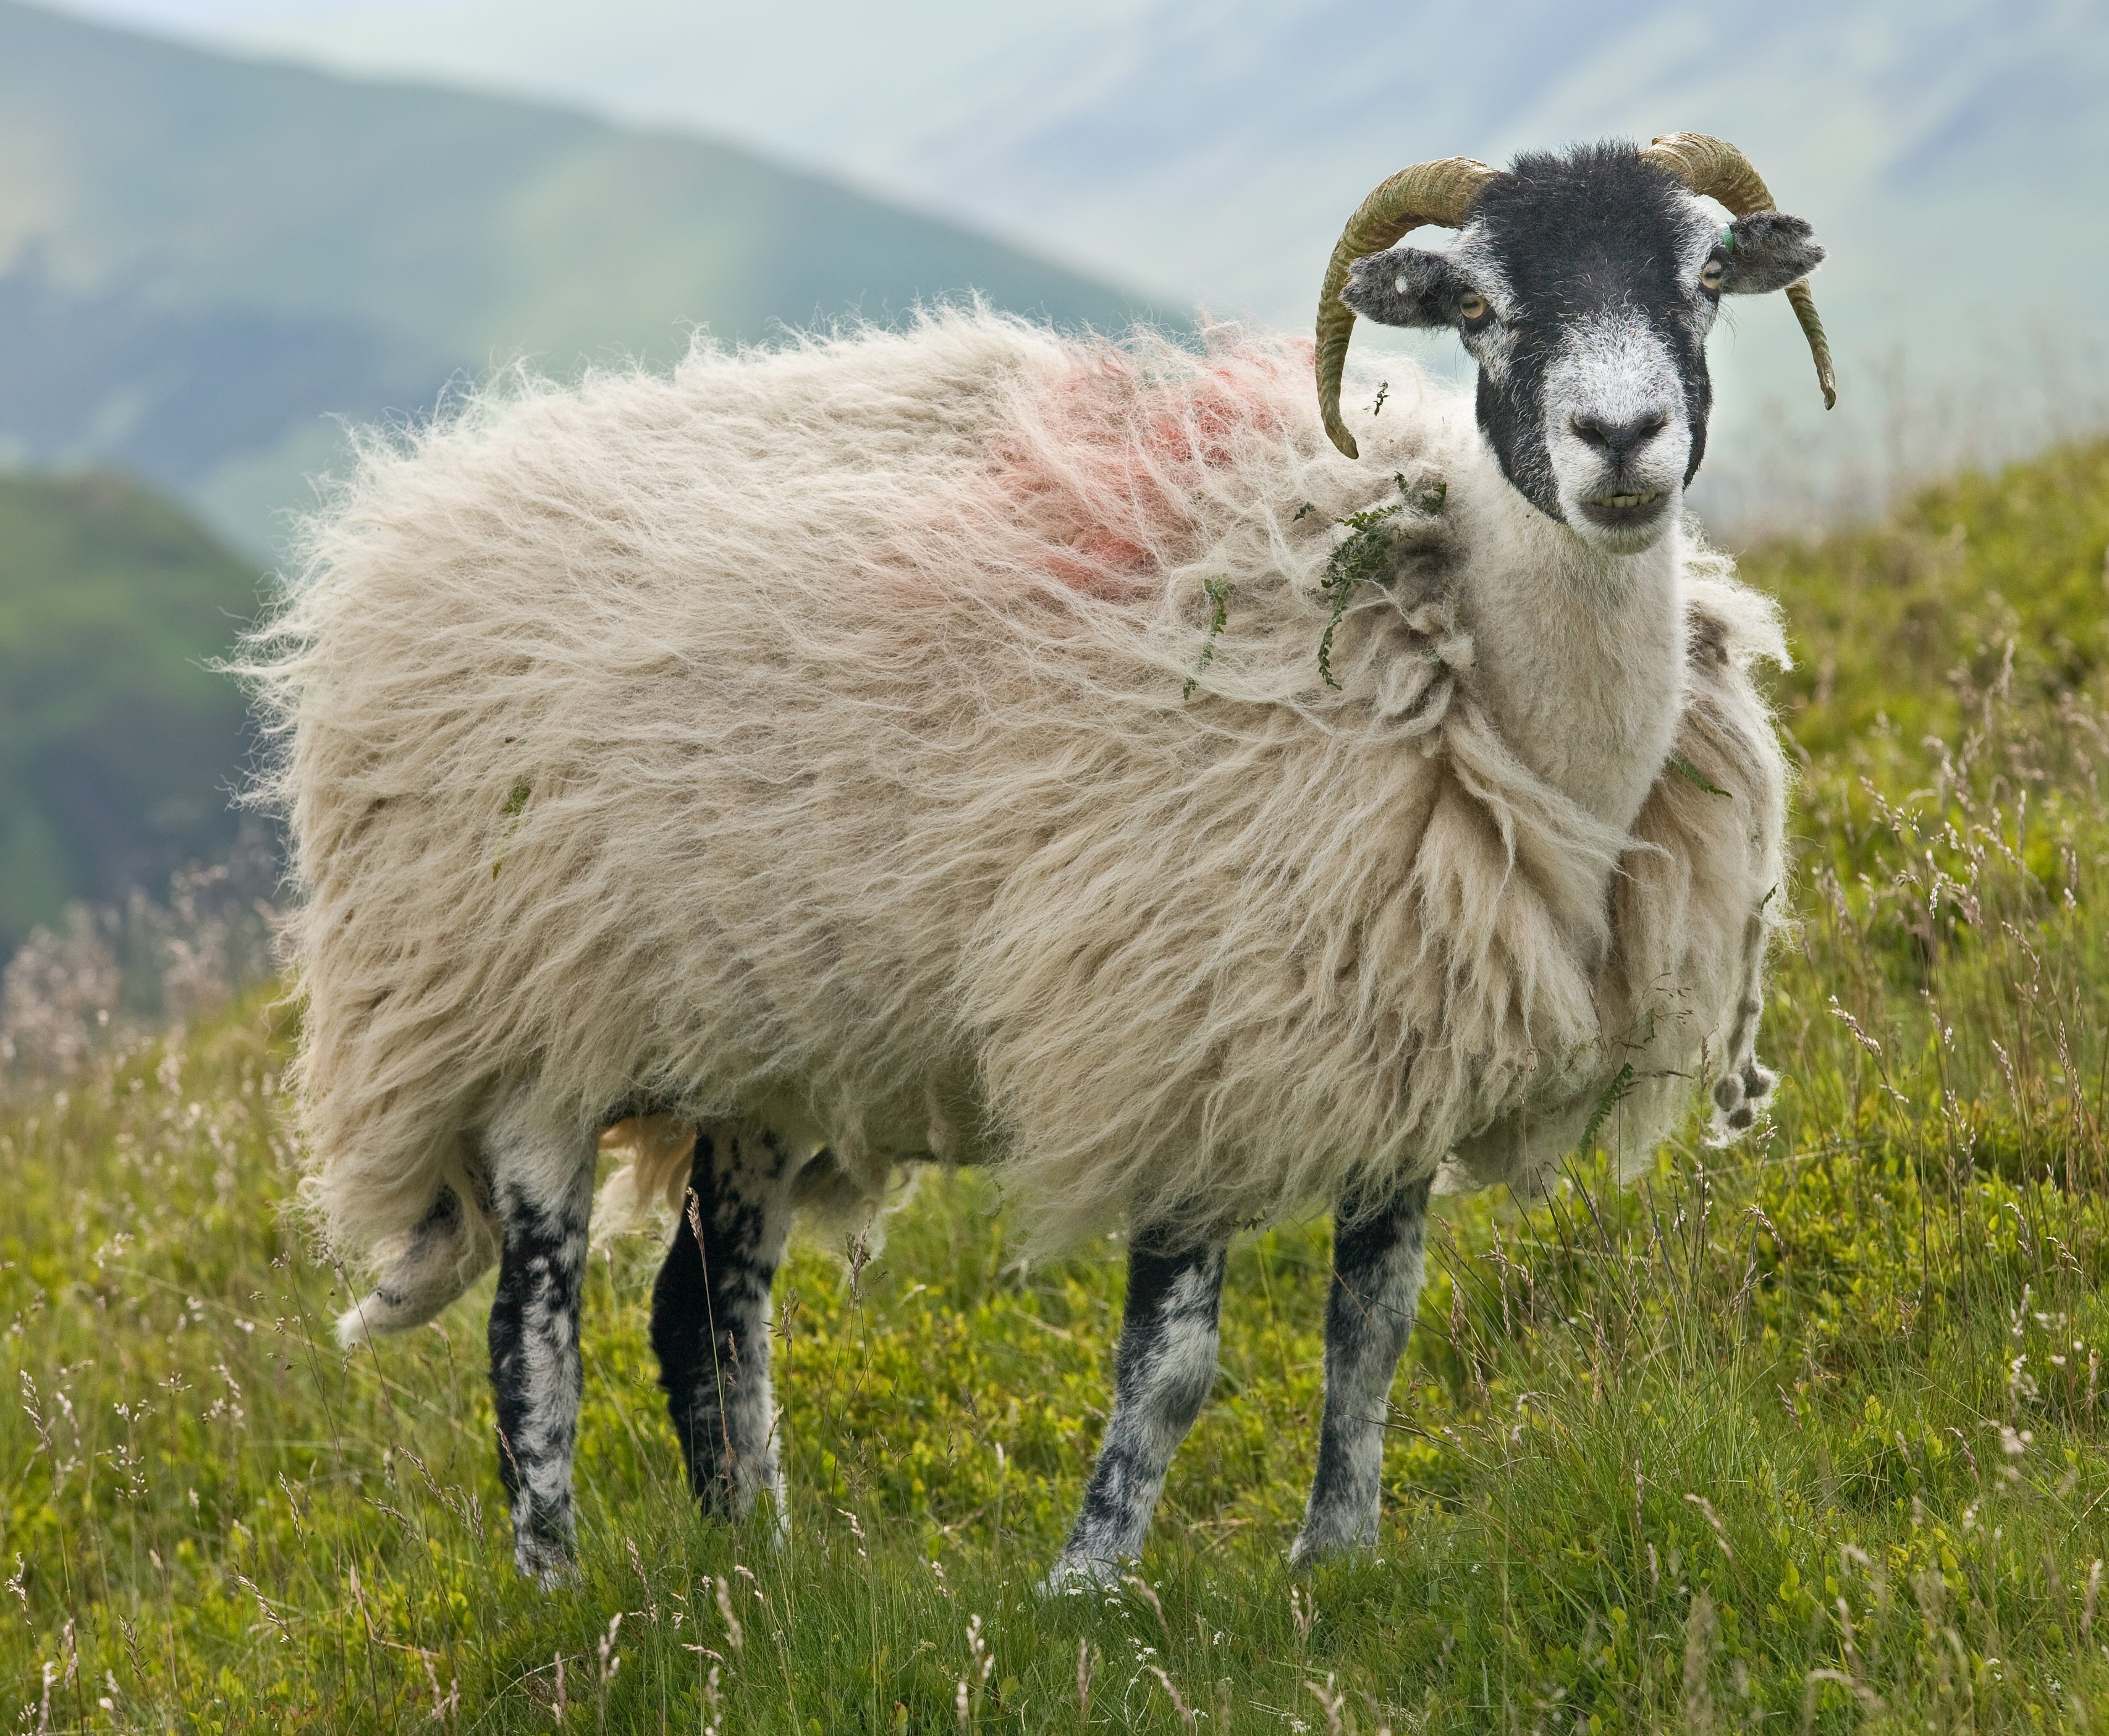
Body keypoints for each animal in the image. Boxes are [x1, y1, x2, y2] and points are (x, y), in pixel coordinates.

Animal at [244, 133, 1830, 1587]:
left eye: (1701, 279)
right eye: (1479, 307)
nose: (1619, 438)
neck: (1484, 691)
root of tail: (421, 507)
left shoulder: (1394, 1048)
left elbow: (1370, 1332)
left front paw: (1334, 1559)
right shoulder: (1187, 1036)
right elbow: (1172, 1365)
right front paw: (1086, 1586)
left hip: (753, 1040)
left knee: (705, 1308)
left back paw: (764, 1577)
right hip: (513, 1018)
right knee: (534, 1331)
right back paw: (563, 1595)